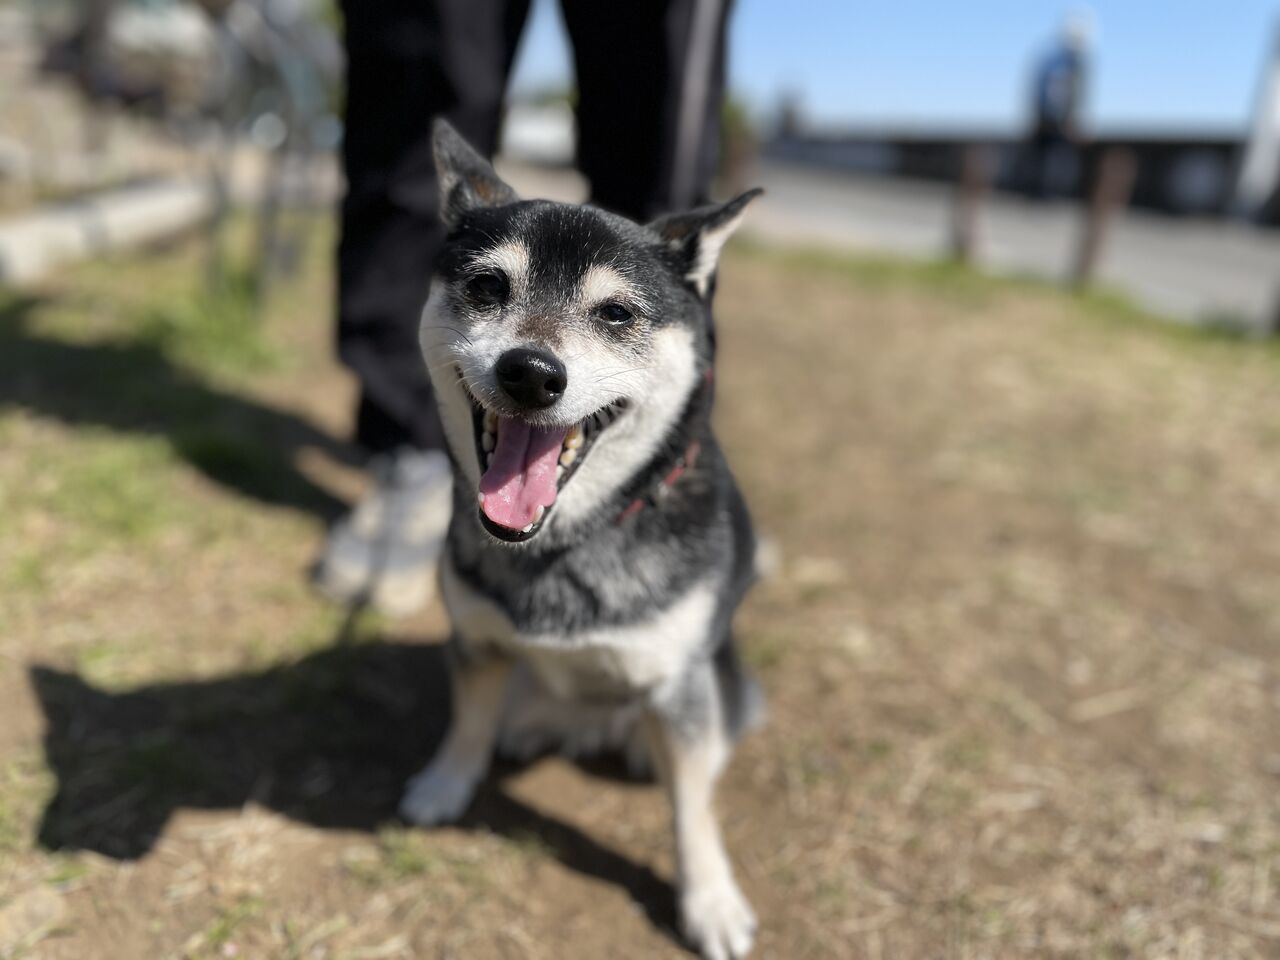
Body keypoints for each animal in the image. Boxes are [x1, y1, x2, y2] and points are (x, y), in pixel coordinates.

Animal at [401, 119, 765, 960]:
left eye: (618, 315)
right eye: (488, 287)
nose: (532, 373)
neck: (562, 546)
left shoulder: (683, 684)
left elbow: (692, 808)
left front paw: (709, 900)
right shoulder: (476, 638)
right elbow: (467, 719)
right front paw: (445, 782)